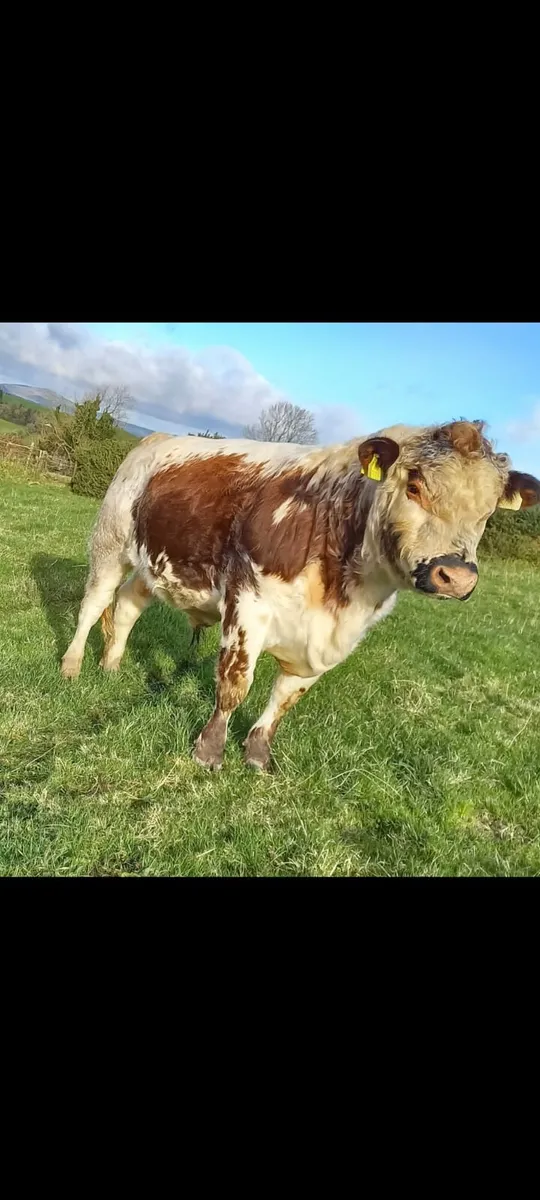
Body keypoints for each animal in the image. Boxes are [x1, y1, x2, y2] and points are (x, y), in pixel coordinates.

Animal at [60, 420, 540, 771]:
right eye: (415, 486)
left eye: (489, 509)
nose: (455, 576)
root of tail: (155, 440)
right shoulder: (247, 603)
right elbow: (235, 685)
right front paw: (208, 752)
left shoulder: (334, 641)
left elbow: (286, 698)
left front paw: (257, 755)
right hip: (110, 542)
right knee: (93, 605)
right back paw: (72, 666)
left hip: (152, 565)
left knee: (126, 606)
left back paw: (111, 666)